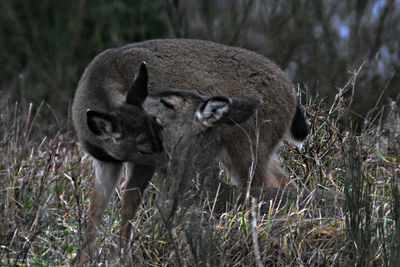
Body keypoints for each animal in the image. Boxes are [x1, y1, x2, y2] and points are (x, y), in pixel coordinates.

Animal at [72, 39, 310, 264]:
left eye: (158, 127)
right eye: (143, 145)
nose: (168, 157)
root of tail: (292, 94)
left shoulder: (141, 165)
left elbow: (128, 203)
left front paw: (122, 254)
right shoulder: (104, 161)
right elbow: (95, 209)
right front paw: (84, 258)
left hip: (249, 143)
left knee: (261, 184)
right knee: (283, 179)